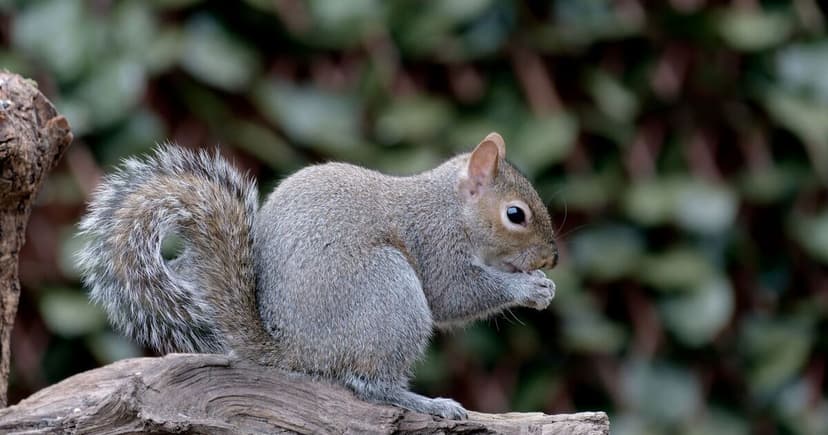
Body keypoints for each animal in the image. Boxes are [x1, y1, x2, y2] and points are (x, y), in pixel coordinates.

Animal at [77, 132, 558, 420]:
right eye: (516, 215)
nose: (552, 258)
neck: (452, 208)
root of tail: (294, 350)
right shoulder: (435, 245)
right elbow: (456, 295)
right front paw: (529, 288)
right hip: (390, 293)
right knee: (368, 383)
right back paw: (426, 402)